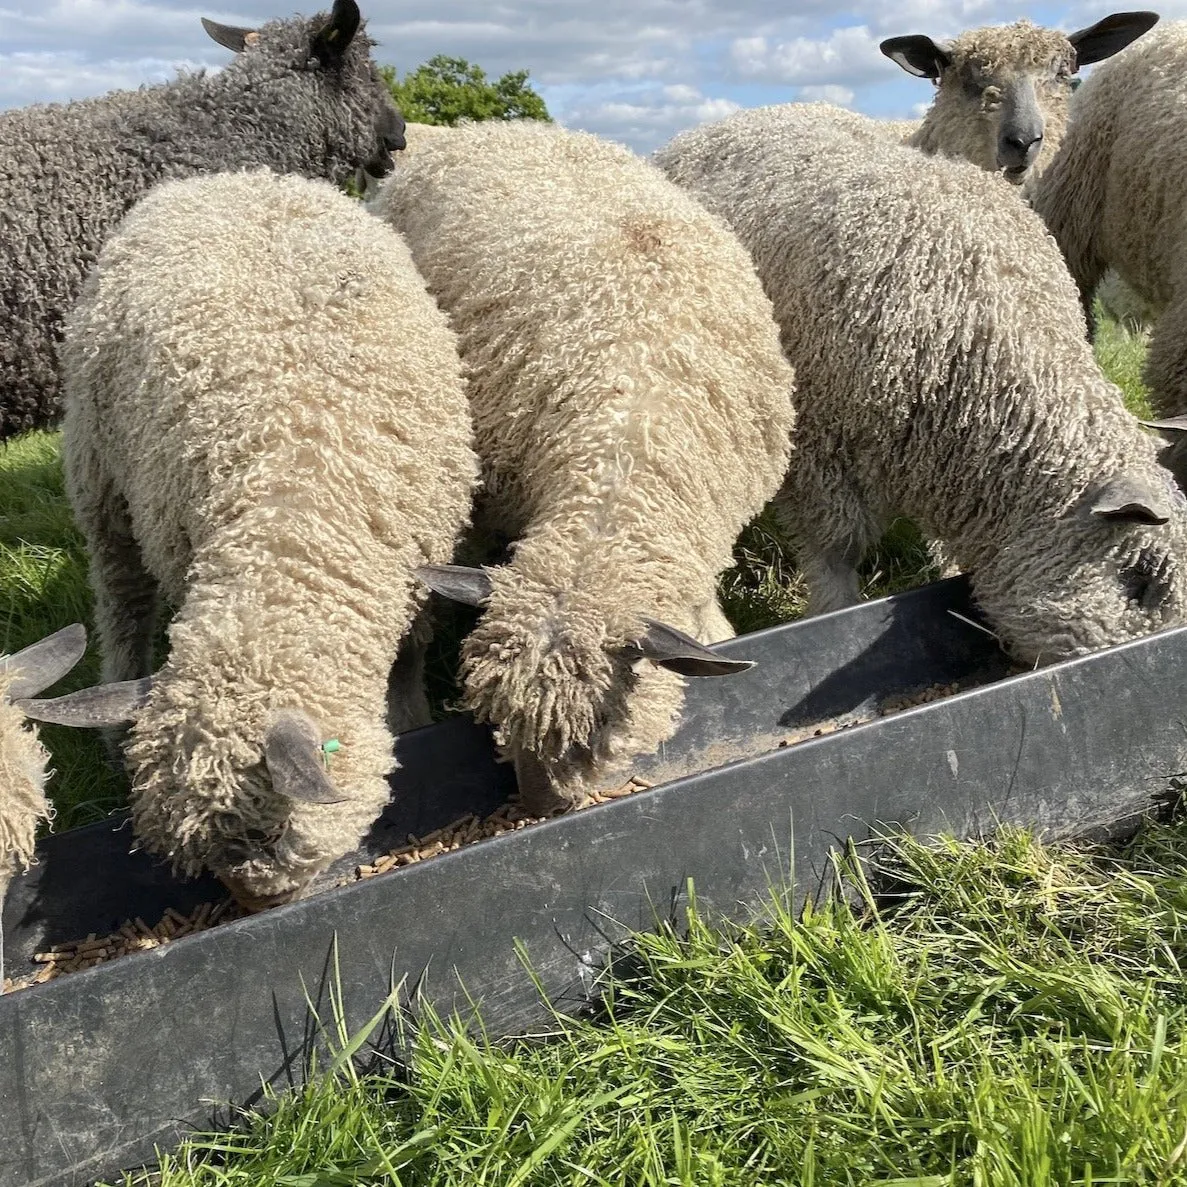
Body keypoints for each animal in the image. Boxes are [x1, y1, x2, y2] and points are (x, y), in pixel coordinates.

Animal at [33, 169, 477, 906]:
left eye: (271, 836)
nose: (261, 906)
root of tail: (222, 177)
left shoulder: (421, 564)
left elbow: (410, 657)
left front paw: (411, 717)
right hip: (100, 476)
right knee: (122, 603)